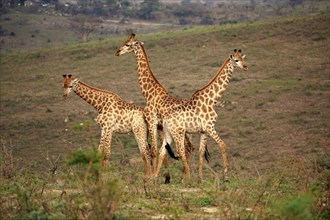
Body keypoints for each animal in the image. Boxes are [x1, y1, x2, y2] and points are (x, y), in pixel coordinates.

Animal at [115, 33, 196, 180]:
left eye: (128, 44)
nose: (117, 52)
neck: (149, 93)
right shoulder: (159, 126)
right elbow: (161, 150)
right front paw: (161, 176)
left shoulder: (151, 121)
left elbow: (153, 150)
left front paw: (153, 177)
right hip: (186, 131)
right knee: (189, 147)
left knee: (187, 148)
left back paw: (187, 176)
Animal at [157, 49, 248, 180]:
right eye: (236, 60)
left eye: (243, 59)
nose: (246, 66)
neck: (212, 100)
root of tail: (165, 120)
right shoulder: (210, 127)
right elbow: (223, 145)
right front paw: (225, 175)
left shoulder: (203, 131)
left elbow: (201, 152)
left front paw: (201, 178)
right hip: (179, 133)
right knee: (181, 152)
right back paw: (187, 178)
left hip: (168, 134)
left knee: (162, 151)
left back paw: (154, 178)